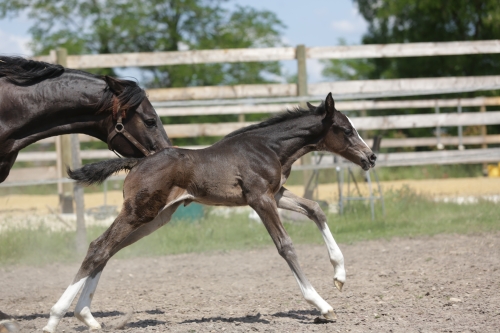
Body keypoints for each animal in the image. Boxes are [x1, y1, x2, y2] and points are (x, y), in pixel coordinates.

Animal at [43, 92, 376, 330]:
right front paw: (321, 304)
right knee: (98, 247)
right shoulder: (259, 198)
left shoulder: (276, 194)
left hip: (153, 218)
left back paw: (86, 316)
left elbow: (316, 209)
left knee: (108, 249)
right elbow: (286, 246)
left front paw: (340, 275)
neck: (268, 147)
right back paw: (55, 318)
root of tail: (137, 162)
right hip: (139, 212)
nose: (371, 157)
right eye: (346, 130)